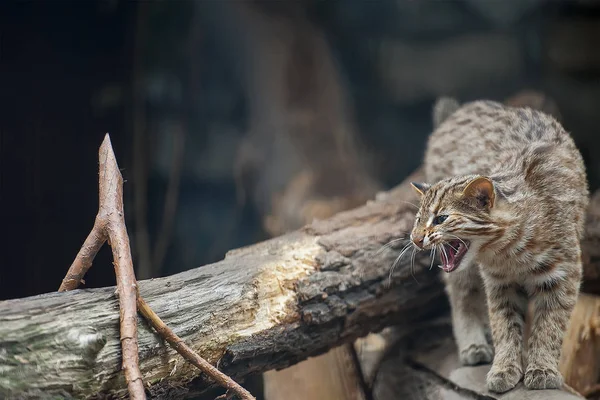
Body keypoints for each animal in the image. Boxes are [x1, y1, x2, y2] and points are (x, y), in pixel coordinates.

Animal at [410, 97, 588, 394]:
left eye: (441, 218)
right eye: (418, 219)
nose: (415, 238)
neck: (508, 250)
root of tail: (460, 110)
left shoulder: (563, 275)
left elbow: (550, 325)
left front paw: (542, 368)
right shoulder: (498, 283)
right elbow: (504, 326)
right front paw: (504, 368)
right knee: (461, 293)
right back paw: (473, 344)